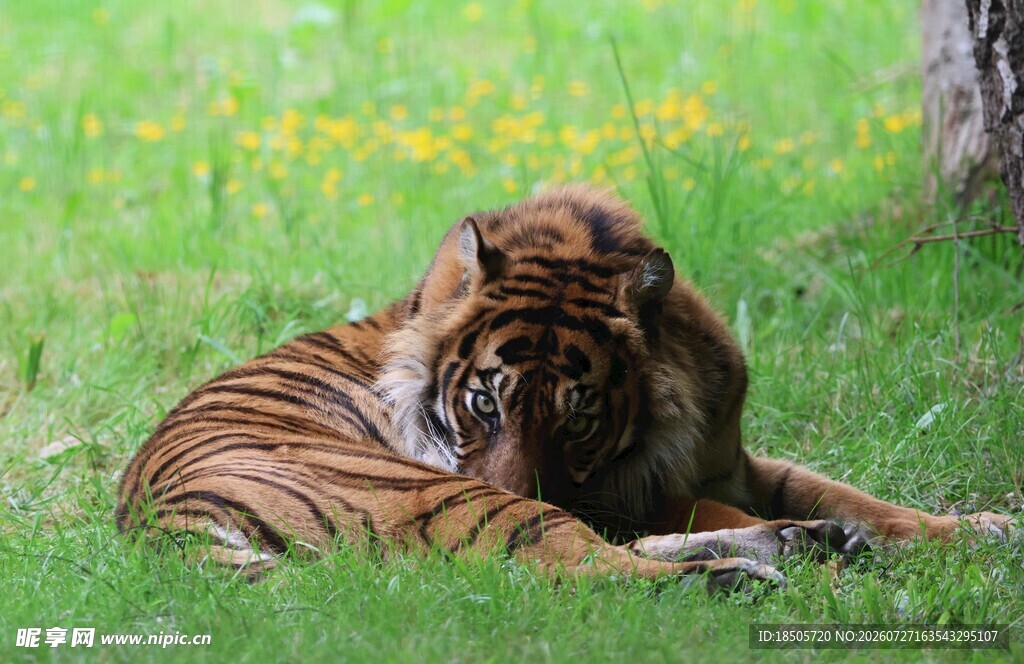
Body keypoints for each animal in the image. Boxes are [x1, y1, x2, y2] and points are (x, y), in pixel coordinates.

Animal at [116, 185, 1014, 588]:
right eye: (482, 403)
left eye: (577, 417)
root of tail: (156, 521)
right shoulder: (636, 490)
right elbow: (696, 511)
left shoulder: (734, 461)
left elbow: (850, 493)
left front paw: (977, 528)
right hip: (441, 495)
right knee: (580, 569)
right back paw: (752, 573)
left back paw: (800, 543)